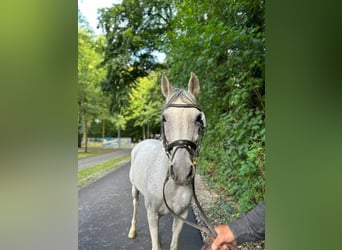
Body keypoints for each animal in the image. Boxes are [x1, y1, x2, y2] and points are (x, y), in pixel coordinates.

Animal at [127, 73, 204, 250]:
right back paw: (132, 231)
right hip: (135, 190)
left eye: (198, 118)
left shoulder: (181, 215)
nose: (182, 172)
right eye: (164, 118)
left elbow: (173, 244)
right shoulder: (152, 214)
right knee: (135, 205)